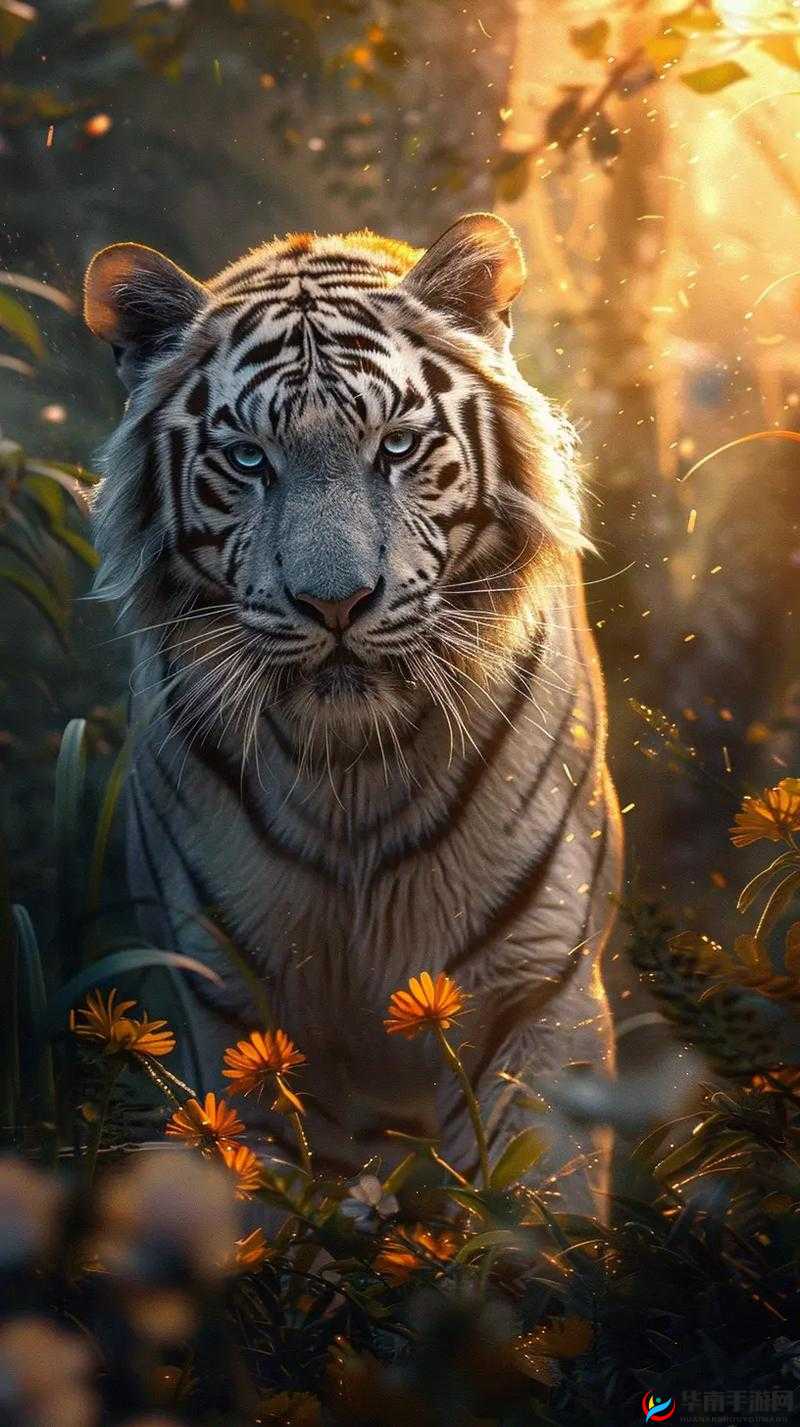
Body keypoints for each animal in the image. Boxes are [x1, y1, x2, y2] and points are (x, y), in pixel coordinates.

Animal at [83, 213, 622, 1213]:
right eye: (248, 459)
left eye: (398, 447)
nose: (335, 602)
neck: (352, 769)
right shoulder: (239, 1009)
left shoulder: (533, 985)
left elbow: (539, 1200)